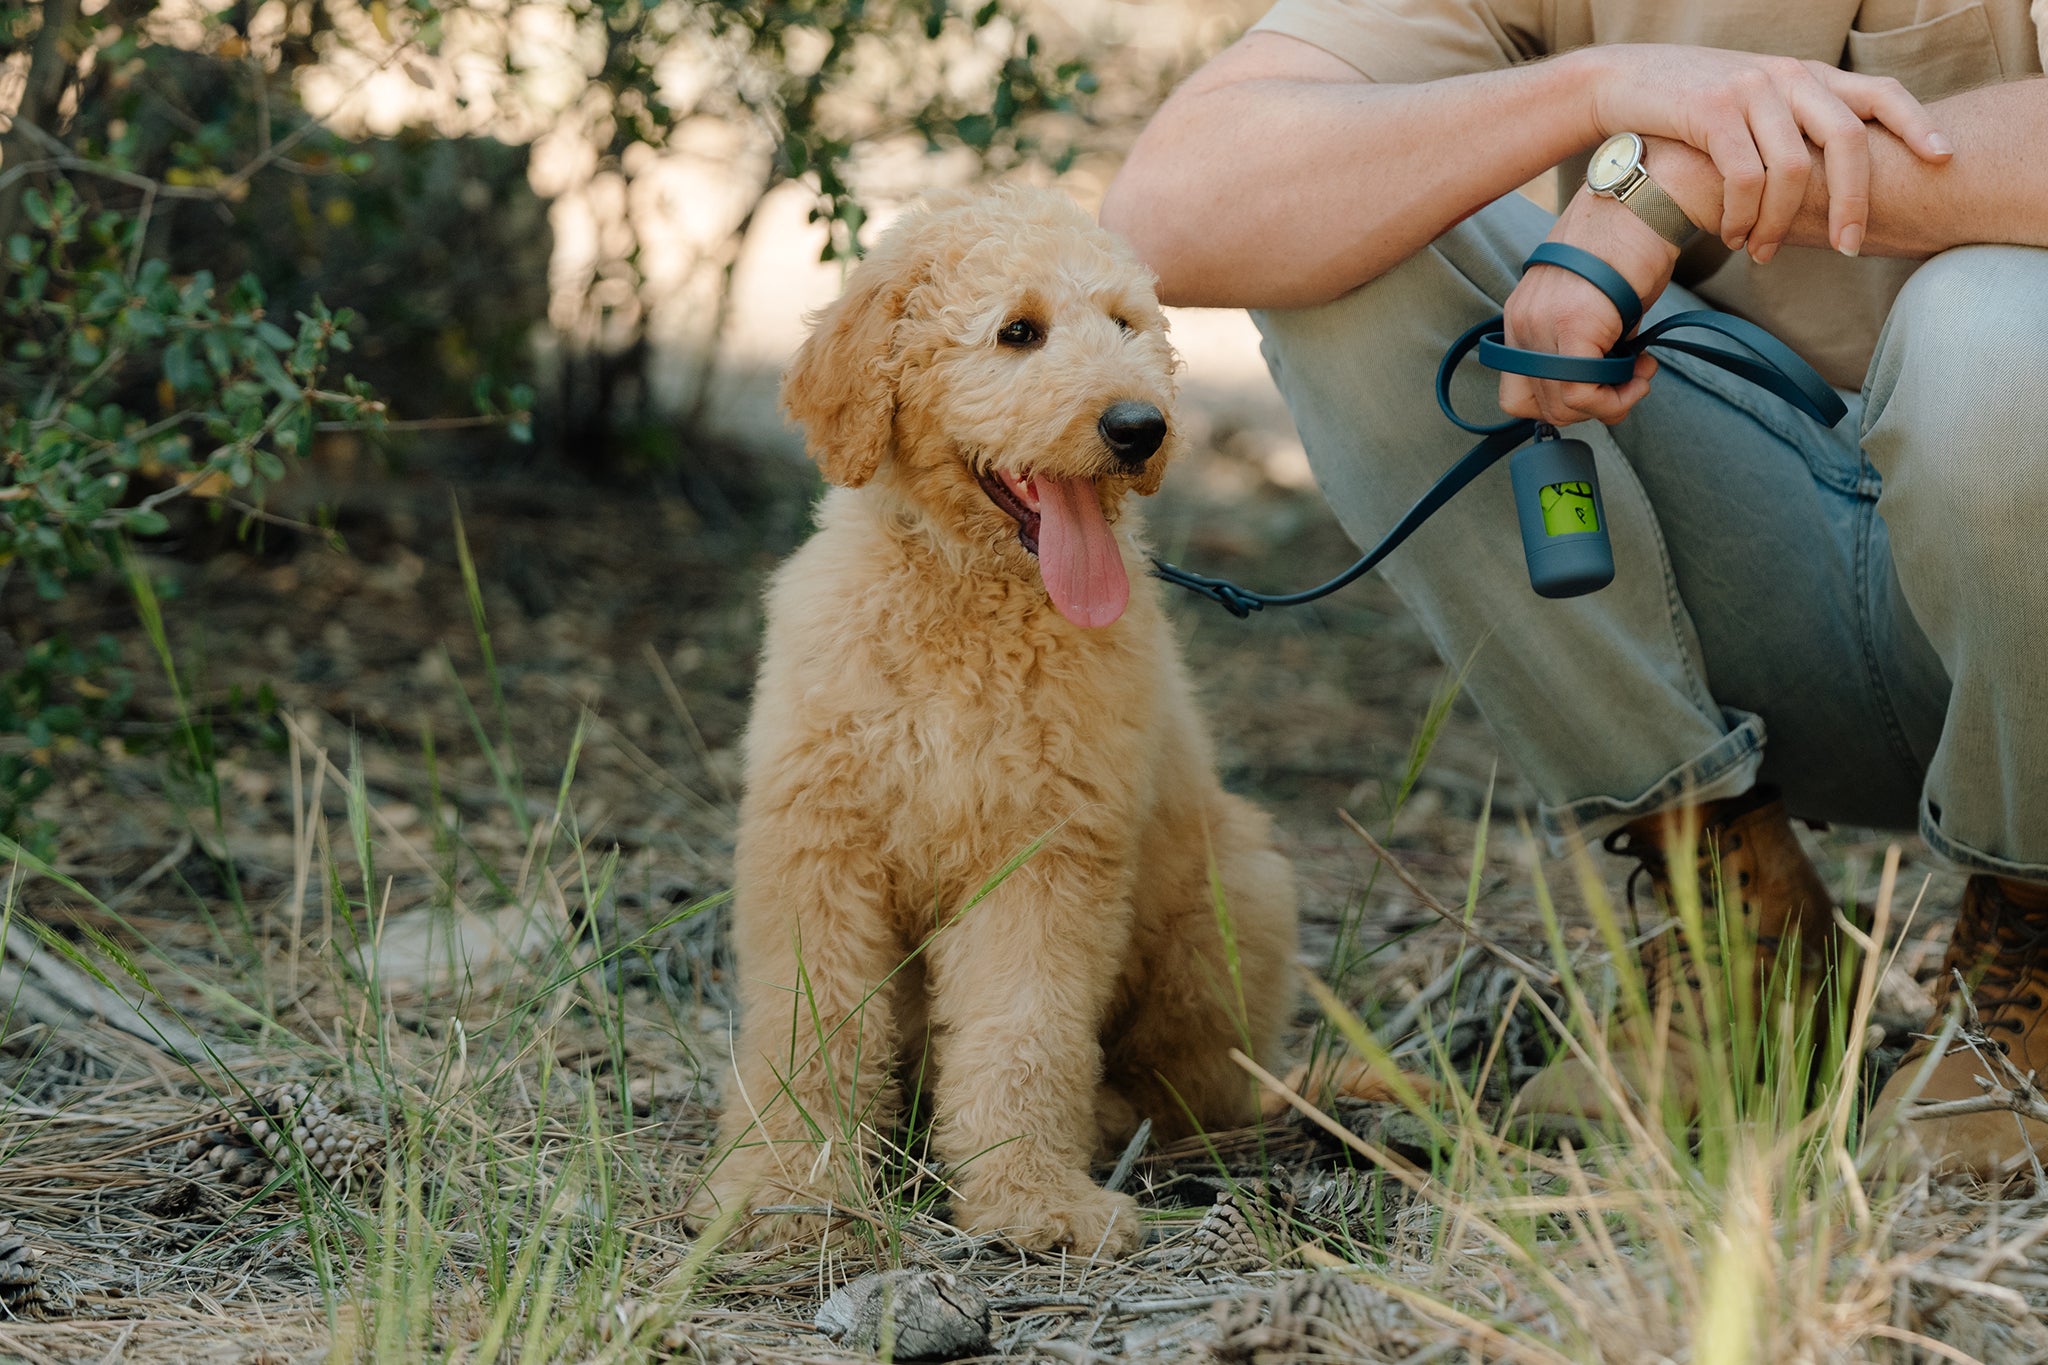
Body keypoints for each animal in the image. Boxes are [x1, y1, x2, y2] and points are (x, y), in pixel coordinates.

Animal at [688, 184, 1294, 1260]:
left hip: (1236, 893)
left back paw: (1106, 1120)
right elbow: (808, 1025)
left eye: (1126, 324)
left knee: (1188, 1088)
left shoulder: (1044, 855)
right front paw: (784, 1185)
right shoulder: (819, 842)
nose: (1139, 426)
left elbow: (1027, 1030)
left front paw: (1029, 1197)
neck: (968, 604)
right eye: (1018, 332)